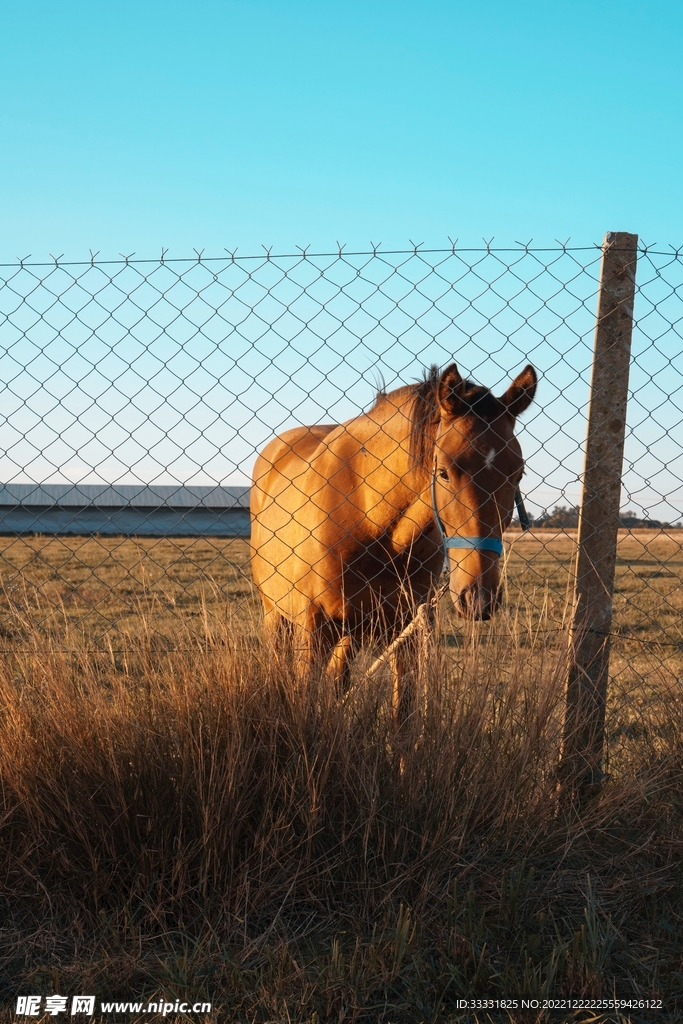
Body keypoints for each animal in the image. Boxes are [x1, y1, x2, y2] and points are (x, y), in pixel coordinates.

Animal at [250, 362, 537, 697]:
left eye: (518, 474)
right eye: (443, 472)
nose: (478, 599)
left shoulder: (406, 633)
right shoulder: (313, 633)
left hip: (352, 632)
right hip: (275, 614)